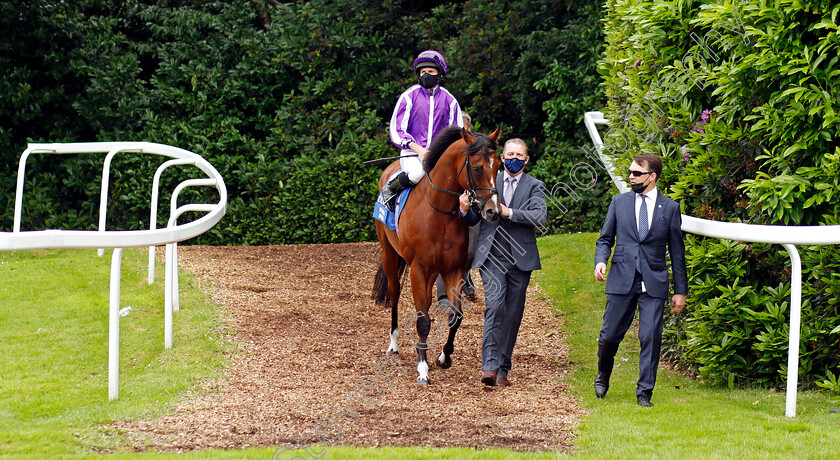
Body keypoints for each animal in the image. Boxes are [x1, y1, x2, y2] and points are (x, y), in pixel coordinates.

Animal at [372, 125, 498, 384]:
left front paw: (444, 357)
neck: (439, 213)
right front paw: (422, 367)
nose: (493, 210)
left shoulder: (454, 269)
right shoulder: (420, 270)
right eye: (477, 167)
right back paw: (394, 342)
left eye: (499, 165)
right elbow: (422, 320)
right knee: (394, 291)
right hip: (389, 253)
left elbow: (455, 316)